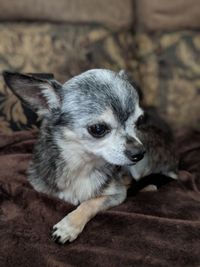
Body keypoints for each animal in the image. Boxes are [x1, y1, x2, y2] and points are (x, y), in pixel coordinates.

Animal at [3, 69, 177, 245]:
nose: (139, 152)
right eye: (98, 129)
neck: (82, 164)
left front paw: (68, 226)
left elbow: (90, 202)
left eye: (139, 121)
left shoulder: (117, 195)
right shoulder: (40, 188)